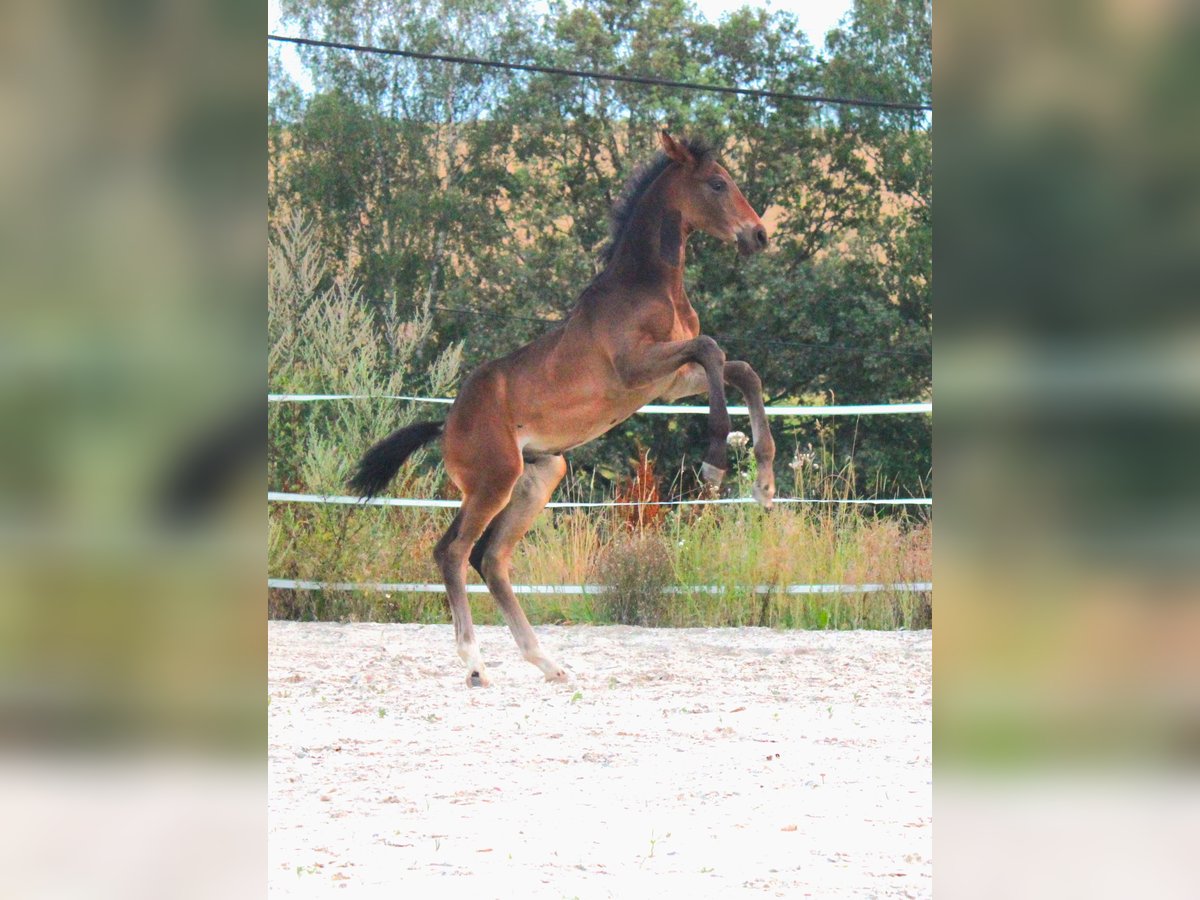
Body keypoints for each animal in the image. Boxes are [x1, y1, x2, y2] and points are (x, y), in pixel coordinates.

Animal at [350, 132, 772, 681]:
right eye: (718, 183)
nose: (759, 235)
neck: (648, 287)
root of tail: (447, 425)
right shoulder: (636, 370)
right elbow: (713, 348)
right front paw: (716, 462)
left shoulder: (669, 383)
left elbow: (739, 369)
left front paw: (764, 481)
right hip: (493, 482)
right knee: (454, 551)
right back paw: (476, 664)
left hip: (539, 475)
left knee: (490, 559)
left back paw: (547, 662)